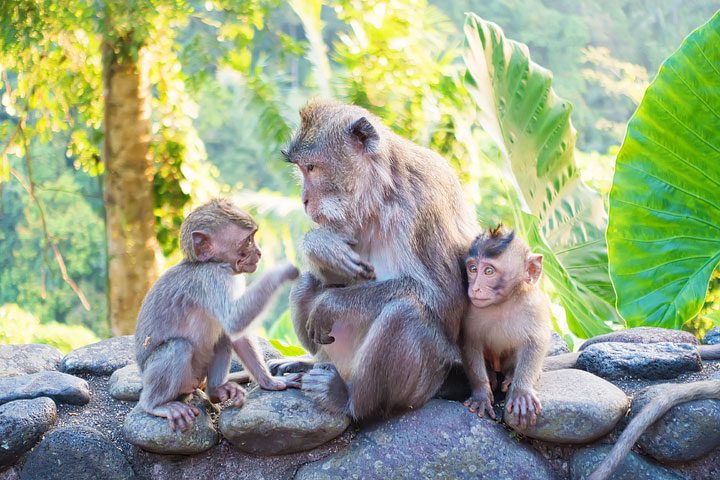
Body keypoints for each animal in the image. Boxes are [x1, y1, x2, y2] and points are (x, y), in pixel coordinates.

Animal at [136, 199, 300, 432]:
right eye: (248, 241)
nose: (259, 253)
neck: (210, 262)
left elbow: (236, 334)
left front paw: (271, 382)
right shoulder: (210, 278)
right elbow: (234, 320)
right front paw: (283, 271)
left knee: (222, 339)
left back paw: (216, 391)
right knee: (178, 346)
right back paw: (156, 404)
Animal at [276, 100, 478, 420]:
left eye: (311, 168)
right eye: (300, 169)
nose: (304, 200)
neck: (382, 196)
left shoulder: (425, 206)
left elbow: (444, 299)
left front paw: (331, 304)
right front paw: (321, 246)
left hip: (426, 380)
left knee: (405, 313)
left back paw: (348, 400)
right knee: (308, 281)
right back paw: (311, 363)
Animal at [462, 225, 552, 428]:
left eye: (488, 271)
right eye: (473, 269)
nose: (475, 288)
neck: (503, 303)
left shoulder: (535, 306)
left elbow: (536, 341)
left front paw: (522, 391)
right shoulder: (470, 309)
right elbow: (470, 341)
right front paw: (481, 393)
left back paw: (510, 376)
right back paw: (491, 375)